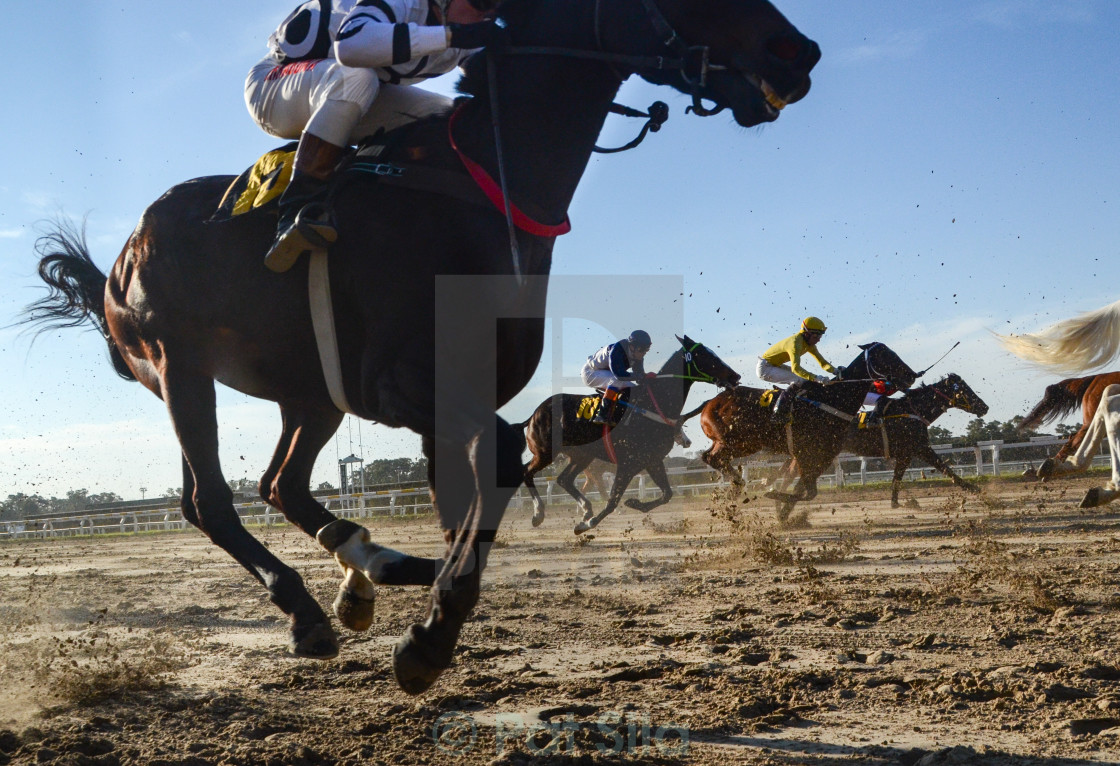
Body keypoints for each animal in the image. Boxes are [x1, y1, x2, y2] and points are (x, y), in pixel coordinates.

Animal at [519, 338, 739, 535]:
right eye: (705, 355)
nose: (735, 376)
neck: (651, 405)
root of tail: (535, 413)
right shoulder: (628, 463)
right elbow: (612, 501)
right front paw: (586, 525)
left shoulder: (652, 460)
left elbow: (667, 494)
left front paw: (633, 502)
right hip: (546, 452)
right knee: (527, 472)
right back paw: (539, 514)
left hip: (582, 456)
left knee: (564, 479)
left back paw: (586, 509)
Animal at [685, 344, 913, 524]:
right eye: (884, 356)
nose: (912, 374)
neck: (832, 399)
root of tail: (712, 402)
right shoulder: (806, 453)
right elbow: (807, 491)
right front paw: (774, 496)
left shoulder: (823, 455)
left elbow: (805, 490)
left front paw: (782, 511)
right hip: (738, 442)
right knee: (711, 458)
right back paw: (738, 486)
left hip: (737, 443)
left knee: (711, 457)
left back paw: (735, 489)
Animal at [842, 371, 990, 508]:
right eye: (963, 389)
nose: (985, 407)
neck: (911, 412)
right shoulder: (920, 449)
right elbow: (945, 468)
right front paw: (974, 488)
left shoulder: (905, 455)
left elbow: (896, 478)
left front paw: (895, 503)